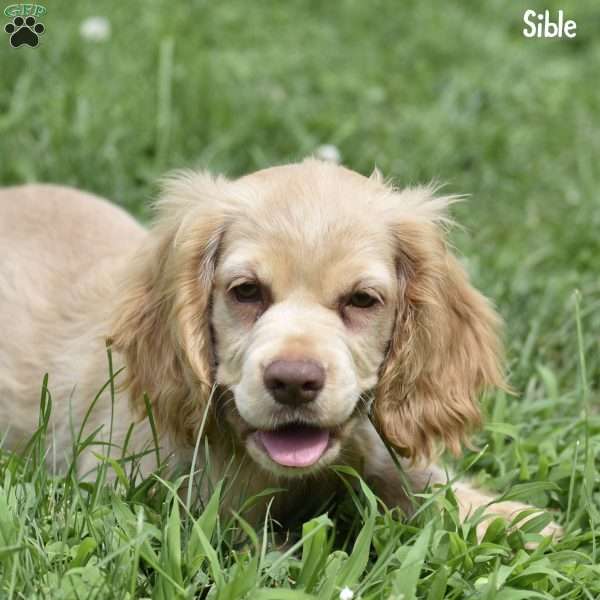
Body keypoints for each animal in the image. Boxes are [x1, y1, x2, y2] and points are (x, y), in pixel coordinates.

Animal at [0, 161, 560, 536]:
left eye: (362, 300)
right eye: (247, 292)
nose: (293, 381)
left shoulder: (375, 449)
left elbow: (428, 483)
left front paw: (518, 522)